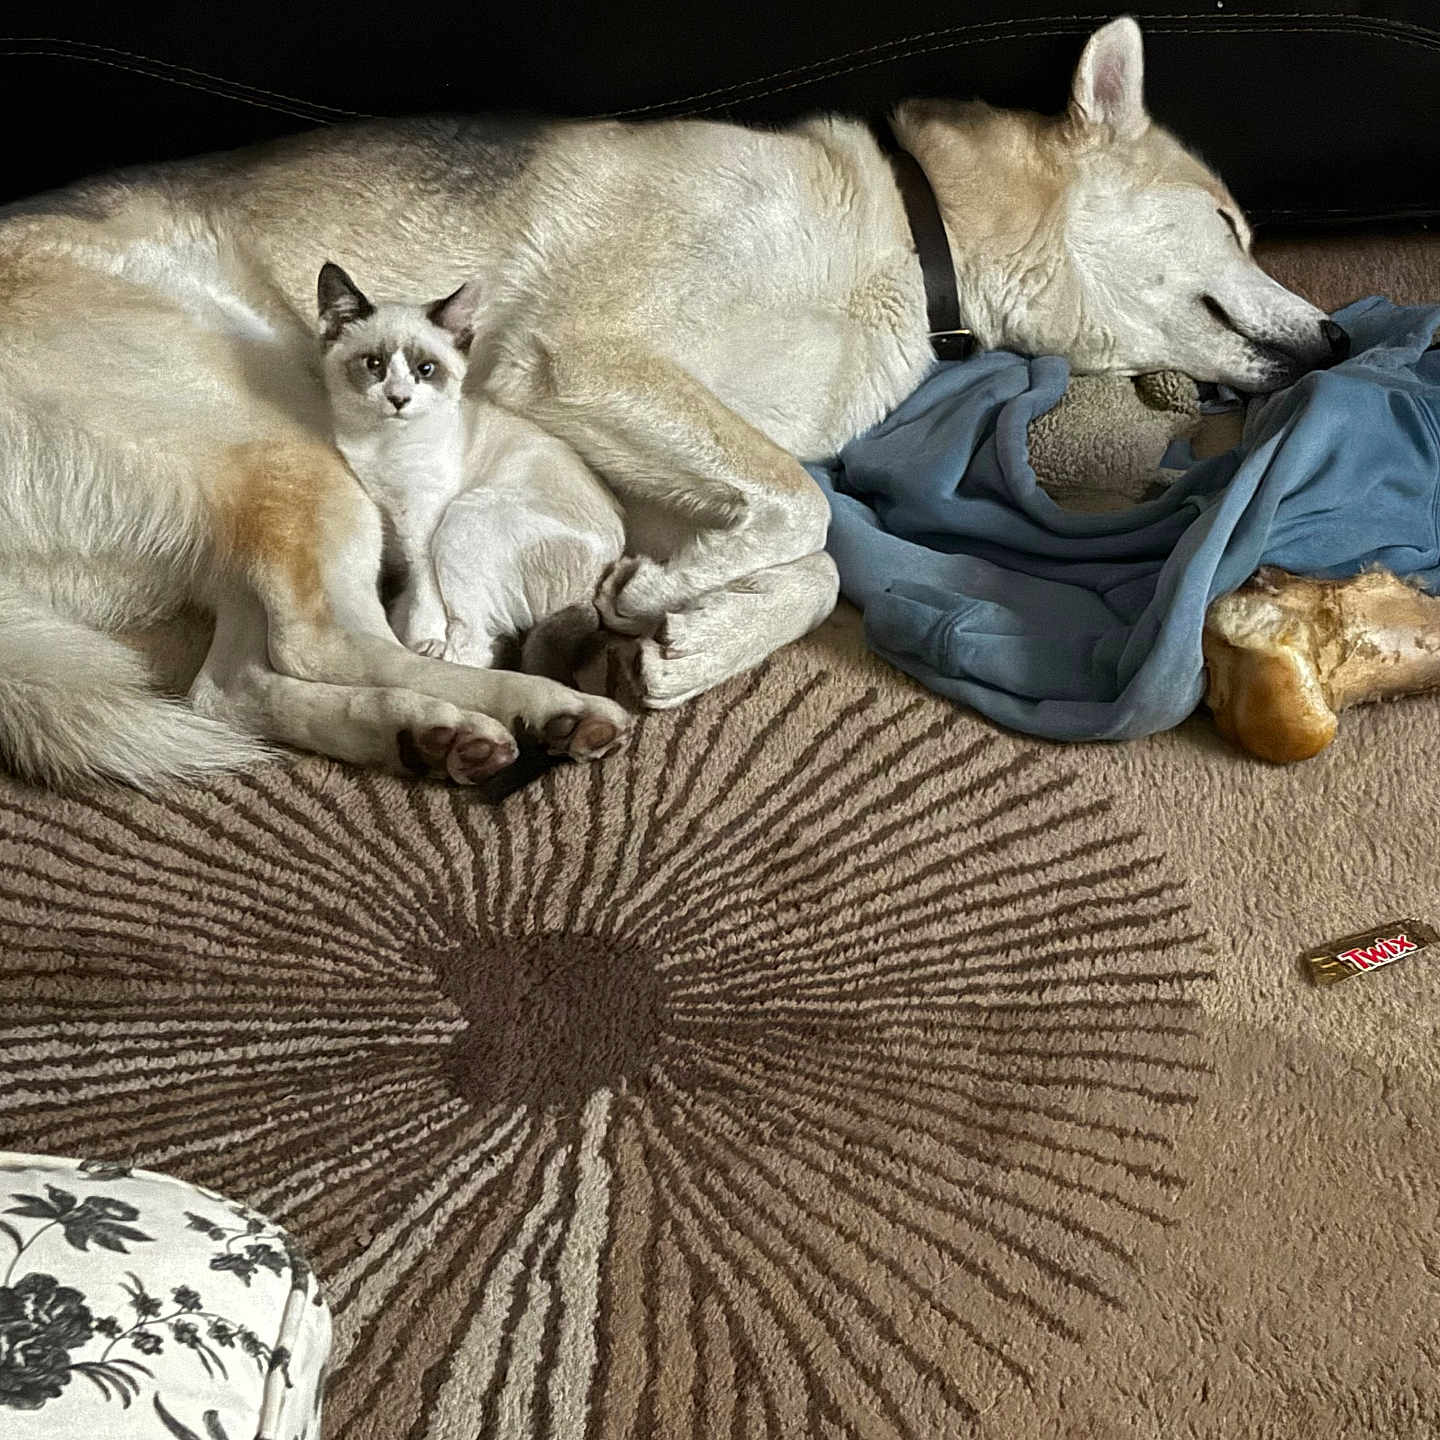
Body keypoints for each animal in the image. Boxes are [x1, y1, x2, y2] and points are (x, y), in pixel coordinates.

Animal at [0, 16, 1341, 789]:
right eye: (1231, 224)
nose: (1336, 336)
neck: (914, 238)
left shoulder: (638, 463)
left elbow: (814, 563)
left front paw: (690, 628)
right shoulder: (587, 363)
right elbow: (807, 510)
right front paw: (666, 603)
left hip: (248, 521)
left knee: (238, 682)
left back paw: (429, 735)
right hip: (292, 444)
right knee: (329, 638)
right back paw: (526, 702)